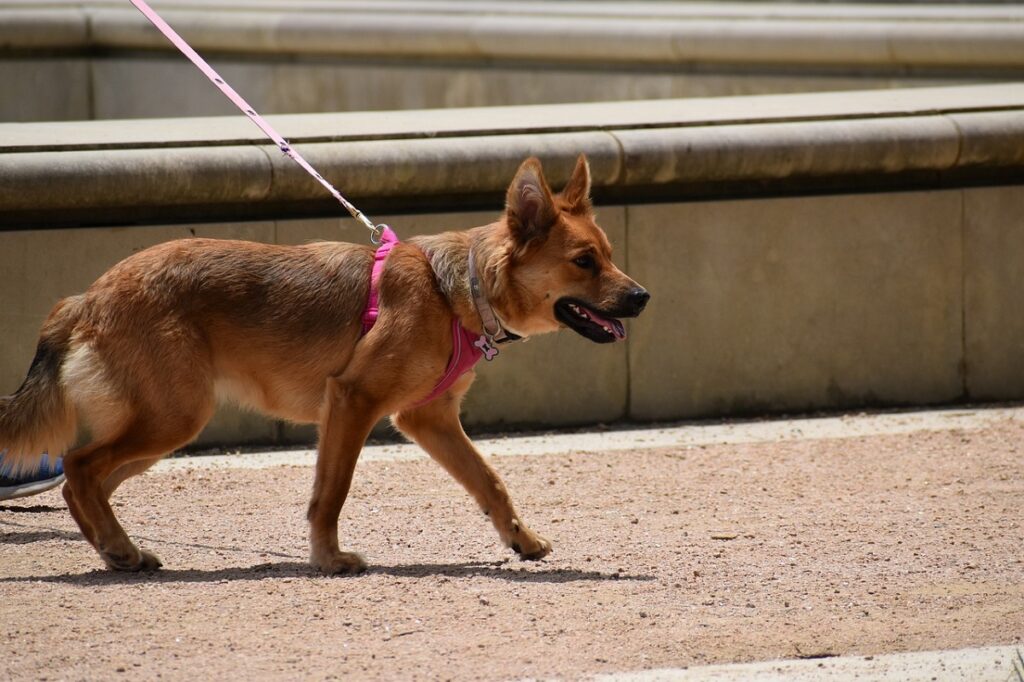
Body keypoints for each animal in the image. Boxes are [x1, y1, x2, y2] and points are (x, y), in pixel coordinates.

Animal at [2, 152, 647, 569]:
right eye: (585, 261)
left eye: (610, 255)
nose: (642, 297)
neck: (453, 290)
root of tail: (87, 296)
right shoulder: (353, 403)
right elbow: (331, 492)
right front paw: (329, 557)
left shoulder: (430, 420)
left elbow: (489, 481)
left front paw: (522, 539)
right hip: (171, 419)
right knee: (81, 466)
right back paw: (117, 548)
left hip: (162, 428)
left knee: (83, 482)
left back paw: (117, 549)